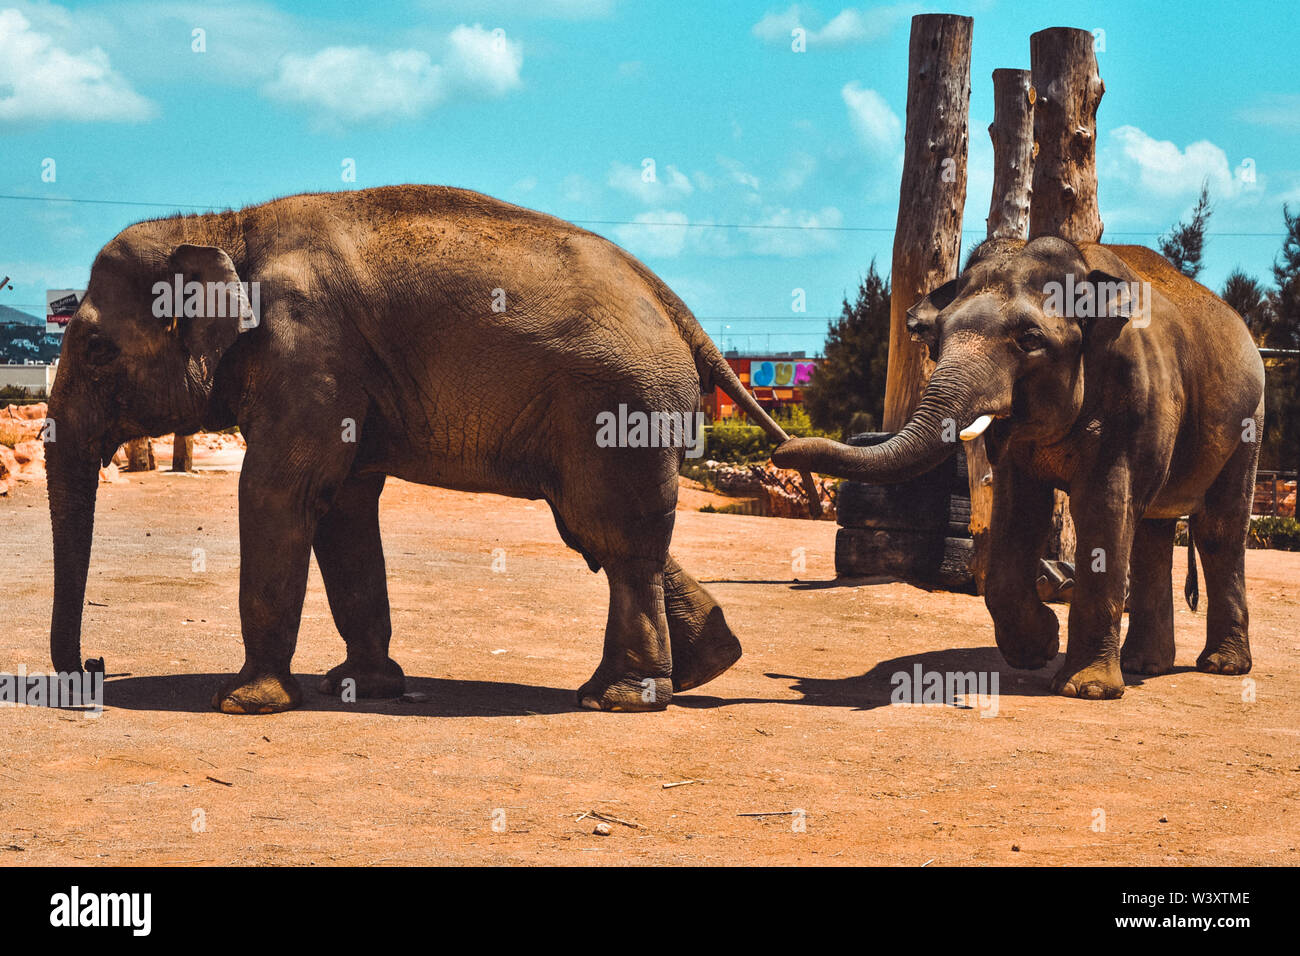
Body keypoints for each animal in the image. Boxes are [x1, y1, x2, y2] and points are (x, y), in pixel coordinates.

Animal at [53, 183, 821, 712]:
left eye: (95, 349)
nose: (91, 665)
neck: (224, 227)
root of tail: (678, 310)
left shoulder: (309, 352)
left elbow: (278, 492)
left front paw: (244, 702)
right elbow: (342, 509)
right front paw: (359, 687)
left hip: (620, 406)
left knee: (610, 535)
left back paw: (621, 698)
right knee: (602, 532)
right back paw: (701, 665)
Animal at [774, 238, 1263, 702]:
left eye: (1029, 340)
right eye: (938, 337)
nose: (781, 450)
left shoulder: (1136, 393)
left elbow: (1104, 506)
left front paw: (1084, 690)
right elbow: (1018, 510)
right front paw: (1038, 649)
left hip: (1249, 423)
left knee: (1218, 527)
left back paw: (1221, 666)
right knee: (1152, 531)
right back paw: (1143, 665)